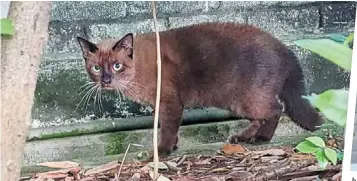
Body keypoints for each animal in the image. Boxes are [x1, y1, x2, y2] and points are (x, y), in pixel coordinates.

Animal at [77, 21, 322, 156]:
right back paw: (241, 138)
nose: (106, 80)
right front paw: (173, 147)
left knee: (275, 110)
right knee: (261, 117)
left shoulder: (169, 102)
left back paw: (261, 139)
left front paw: (162, 152)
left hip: (247, 99)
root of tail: (284, 48)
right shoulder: (160, 106)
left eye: (117, 65)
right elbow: (165, 128)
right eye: (96, 68)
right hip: (239, 101)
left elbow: (167, 129)